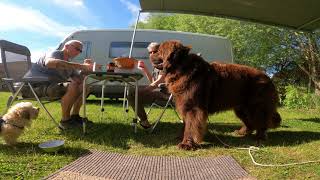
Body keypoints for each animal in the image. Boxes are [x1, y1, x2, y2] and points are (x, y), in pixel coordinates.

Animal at [154, 40, 282, 150]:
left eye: (159, 50)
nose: (150, 52)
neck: (182, 69)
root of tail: (268, 78)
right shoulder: (186, 104)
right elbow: (186, 124)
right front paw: (182, 138)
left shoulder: (193, 107)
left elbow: (190, 126)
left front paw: (187, 144)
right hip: (241, 108)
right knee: (249, 122)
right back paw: (241, 132)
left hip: (256, 106)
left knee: (261, 121)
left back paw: (260, 137)